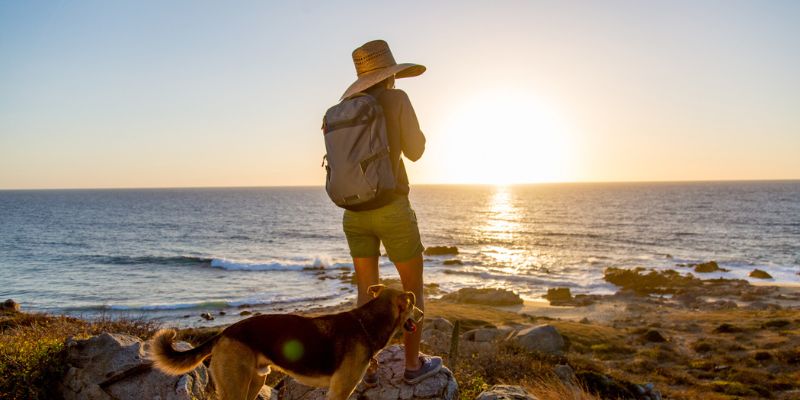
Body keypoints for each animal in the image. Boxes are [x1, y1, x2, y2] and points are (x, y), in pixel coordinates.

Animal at [152, 284, 424, 400]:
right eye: (413, 305)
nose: (422, 314)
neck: (366, 324)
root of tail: (224, 333)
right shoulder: (340, 390)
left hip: (255, 381)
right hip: (236, 386)